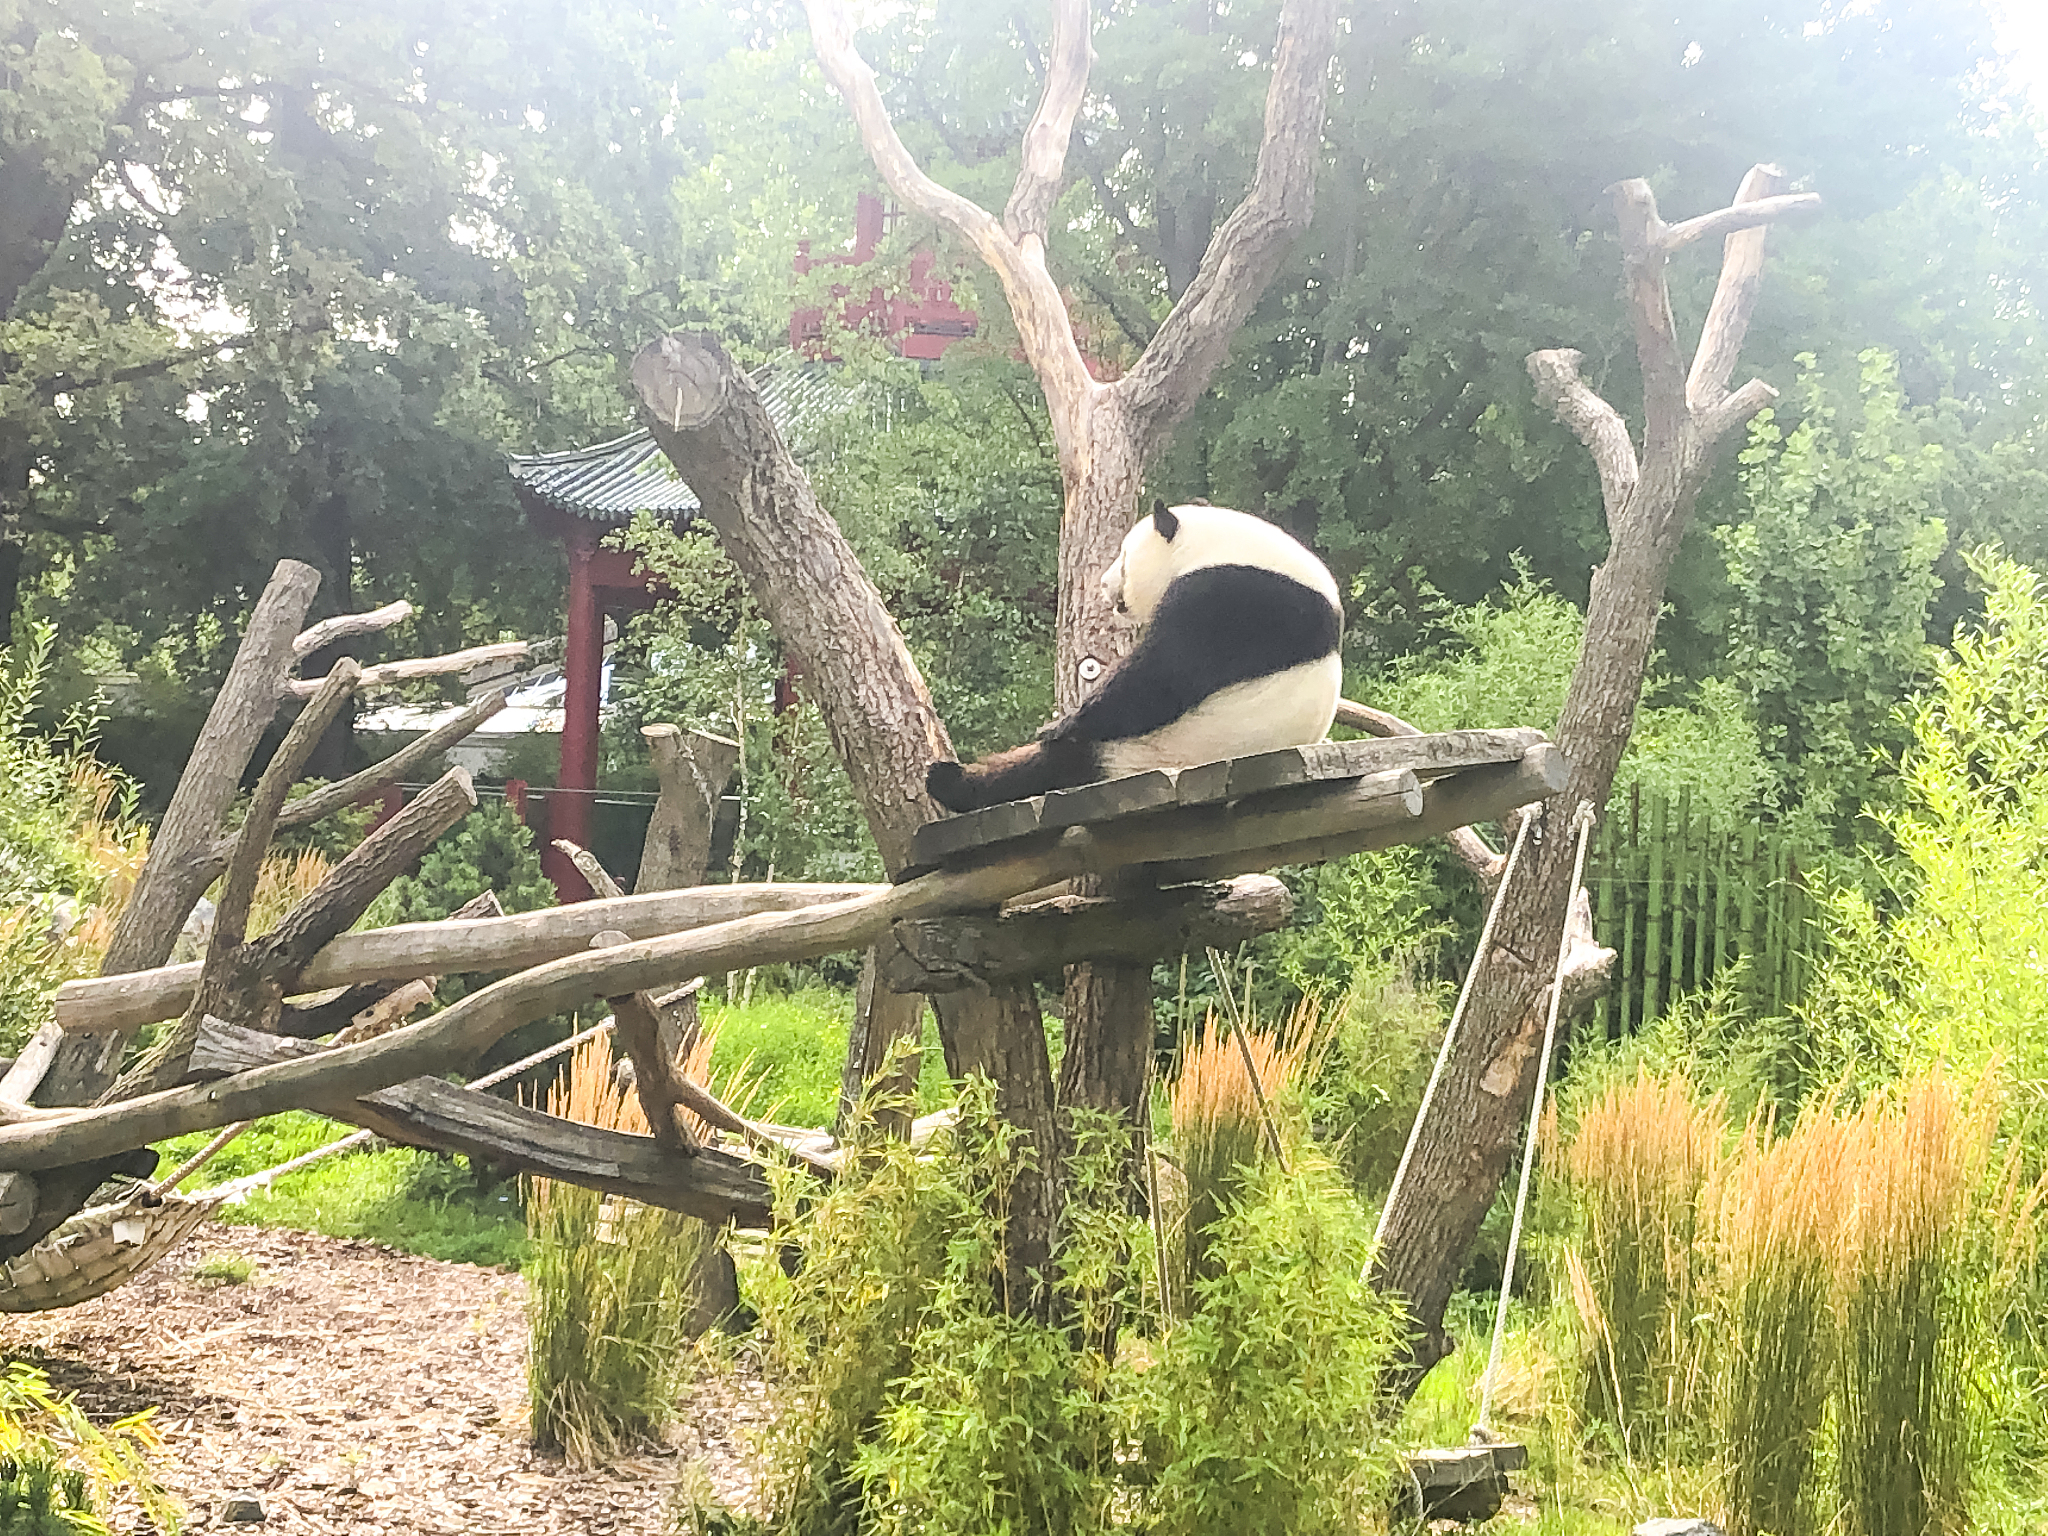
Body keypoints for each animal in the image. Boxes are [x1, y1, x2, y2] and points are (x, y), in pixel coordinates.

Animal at [925, 501, 1344, 813]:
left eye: (1124, 557)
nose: (1103, 586)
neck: (1218, 544)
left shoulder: (1232, 598)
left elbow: (1162, 679)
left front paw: (1059, 725)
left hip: (1151, 750)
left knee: (1054, 764)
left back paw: (952, 782)